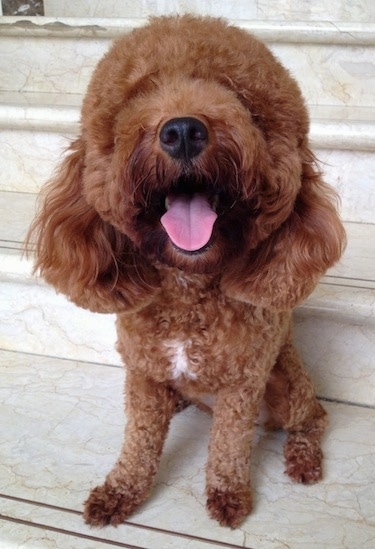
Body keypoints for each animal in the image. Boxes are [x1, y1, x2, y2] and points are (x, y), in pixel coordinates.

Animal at [27, 13, 346, 528]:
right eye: (138, 94)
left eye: (238, 96)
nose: (181, 130)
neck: (189, 291)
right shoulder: (143, 373)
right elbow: (138, 441)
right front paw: (121, 491)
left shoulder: (243, 384)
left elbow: (229, 445)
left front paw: (229, 495)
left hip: (288, 383)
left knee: (313, 419)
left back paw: (303, 458)